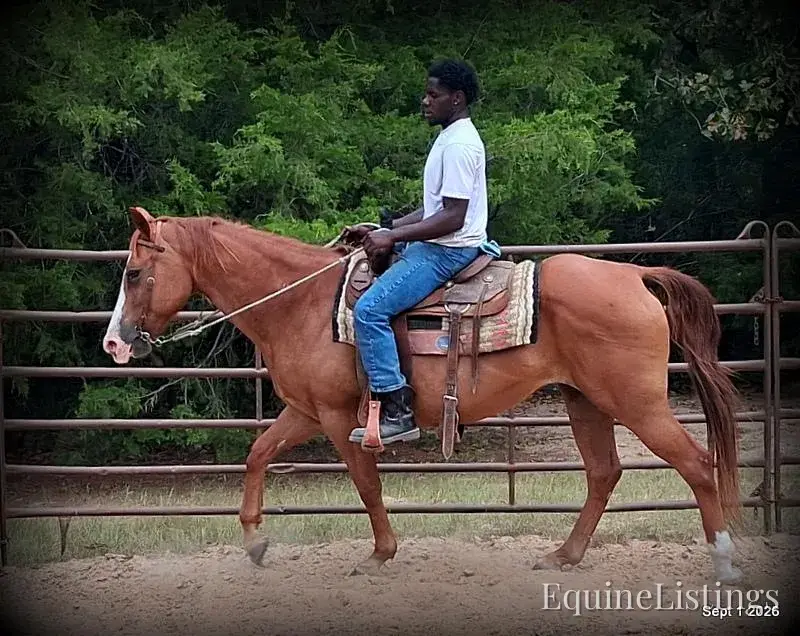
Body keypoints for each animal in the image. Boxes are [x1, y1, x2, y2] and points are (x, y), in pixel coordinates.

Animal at [102, 206, 743, 584]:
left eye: (133, 273)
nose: (113, 342)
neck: (300, 304)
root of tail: (634, 275)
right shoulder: (306, 411)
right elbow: (258, 454)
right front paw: (256, 542)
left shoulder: (338, 416)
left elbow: (366, 483)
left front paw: (381, 552)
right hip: (584, 400)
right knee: (604, 473)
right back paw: (564, 556)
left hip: (638, 403)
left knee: (696, 463)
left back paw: (725, 561)